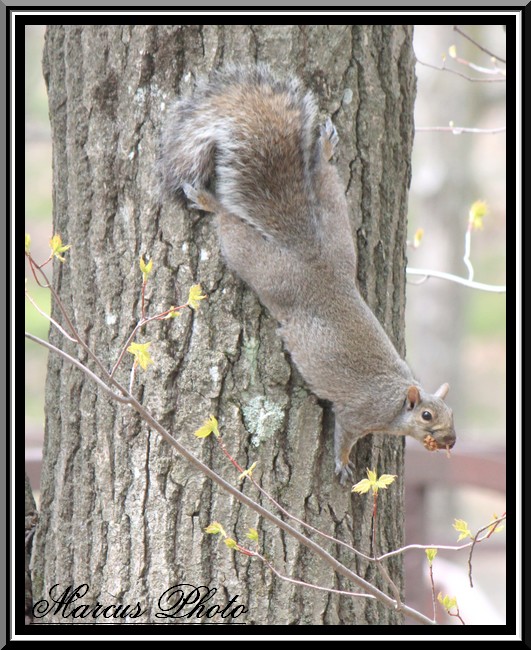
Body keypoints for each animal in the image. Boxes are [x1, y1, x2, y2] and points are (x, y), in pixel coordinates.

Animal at [160, 66, 456, 480]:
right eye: (428, 416)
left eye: (451, 414)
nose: (451, 440)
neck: (397, 397)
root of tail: (314, 257)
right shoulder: (356, 413)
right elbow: (344, 435)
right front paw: (343, 465)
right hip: (266, 269)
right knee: (229, 222)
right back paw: (207, 200)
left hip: (336, 226)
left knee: (322, 176)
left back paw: (326, 148)